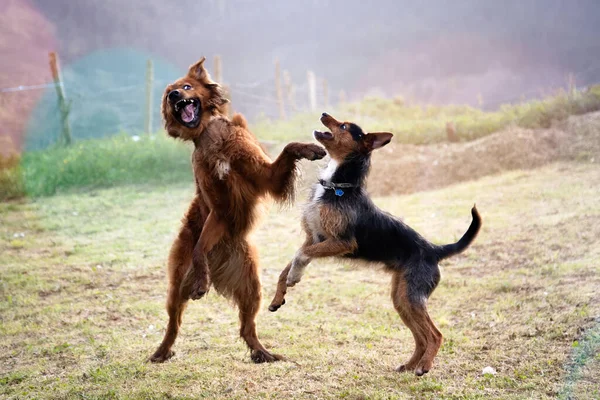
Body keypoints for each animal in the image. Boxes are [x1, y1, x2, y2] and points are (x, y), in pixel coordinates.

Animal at [152, 57, 326, 364]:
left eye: (186, 87)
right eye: (168, 93)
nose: (174, 96)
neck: (211, 135)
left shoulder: (265, 176)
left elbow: (288, 148)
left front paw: (310, 148)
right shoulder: (218, 208)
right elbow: (200, 248)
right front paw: (201, 277)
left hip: (252, 286)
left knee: (247, 327)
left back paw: (263, 353)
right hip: (177, 284)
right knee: (174, 322)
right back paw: (162, 350)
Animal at [270, 112, 480, 376]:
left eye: (344, 126)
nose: (324, 114)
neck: (337, 187)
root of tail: (434, 250)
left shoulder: (341, 242)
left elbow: (300, 255)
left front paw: (295, 275)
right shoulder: (314, 238)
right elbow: (289, 264)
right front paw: (278, 296)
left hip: (412, 298)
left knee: (435, 334)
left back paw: (424, 366)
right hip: (402, 299)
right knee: (420, 337)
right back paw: (411, 365)